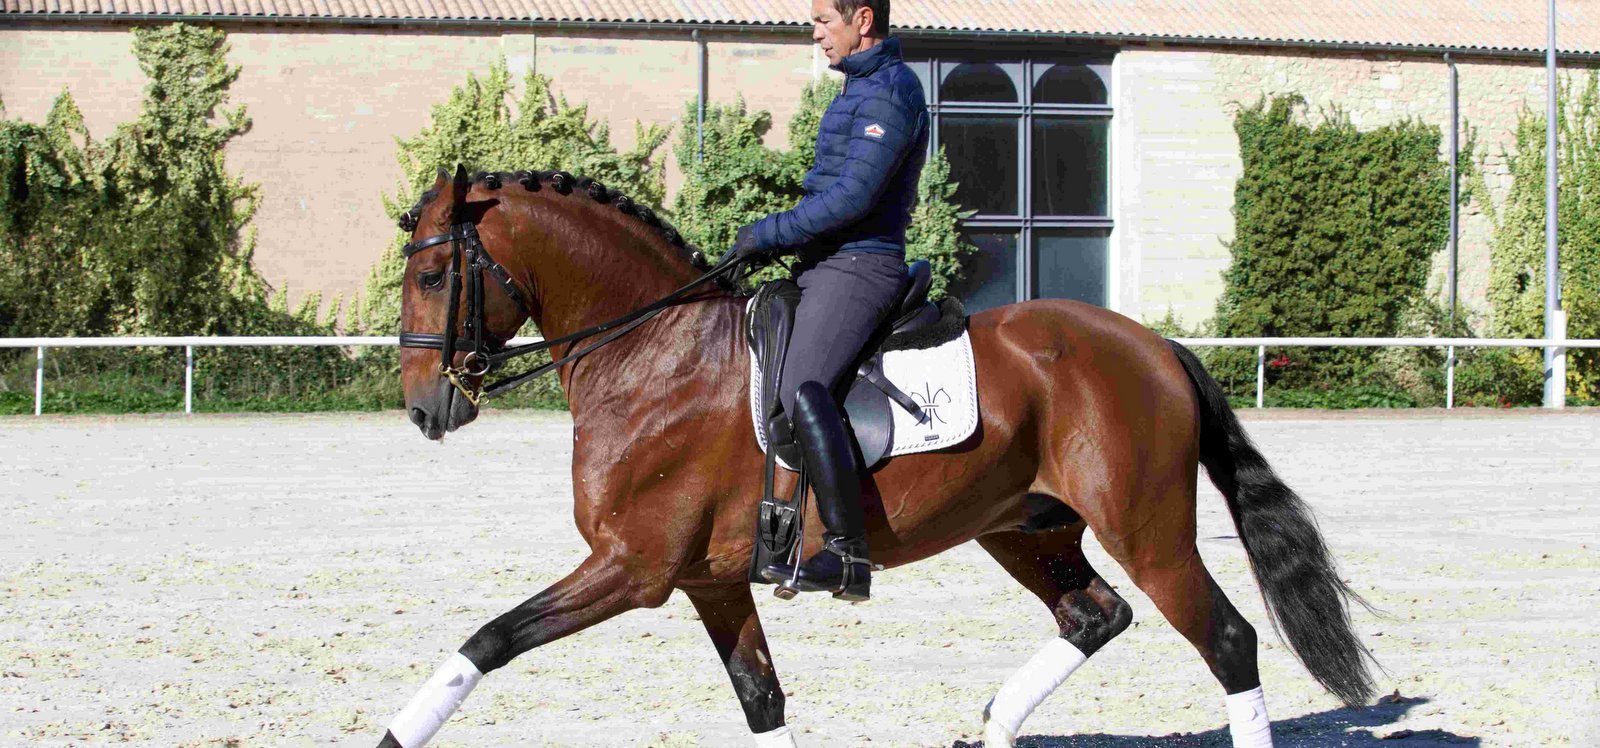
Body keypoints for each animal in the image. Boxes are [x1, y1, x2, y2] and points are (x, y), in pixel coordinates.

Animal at [377, 165, 1376, 748]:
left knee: (1227, 640)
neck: (652, 356)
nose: (426, 407)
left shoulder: (634, 567)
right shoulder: (709, 581)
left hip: (1150, 532)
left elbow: (487, 640)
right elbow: (762, 702)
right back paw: (995, 726)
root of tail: (1154, 346)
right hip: (1026, 529)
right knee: (1094, 617)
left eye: (431, 275)